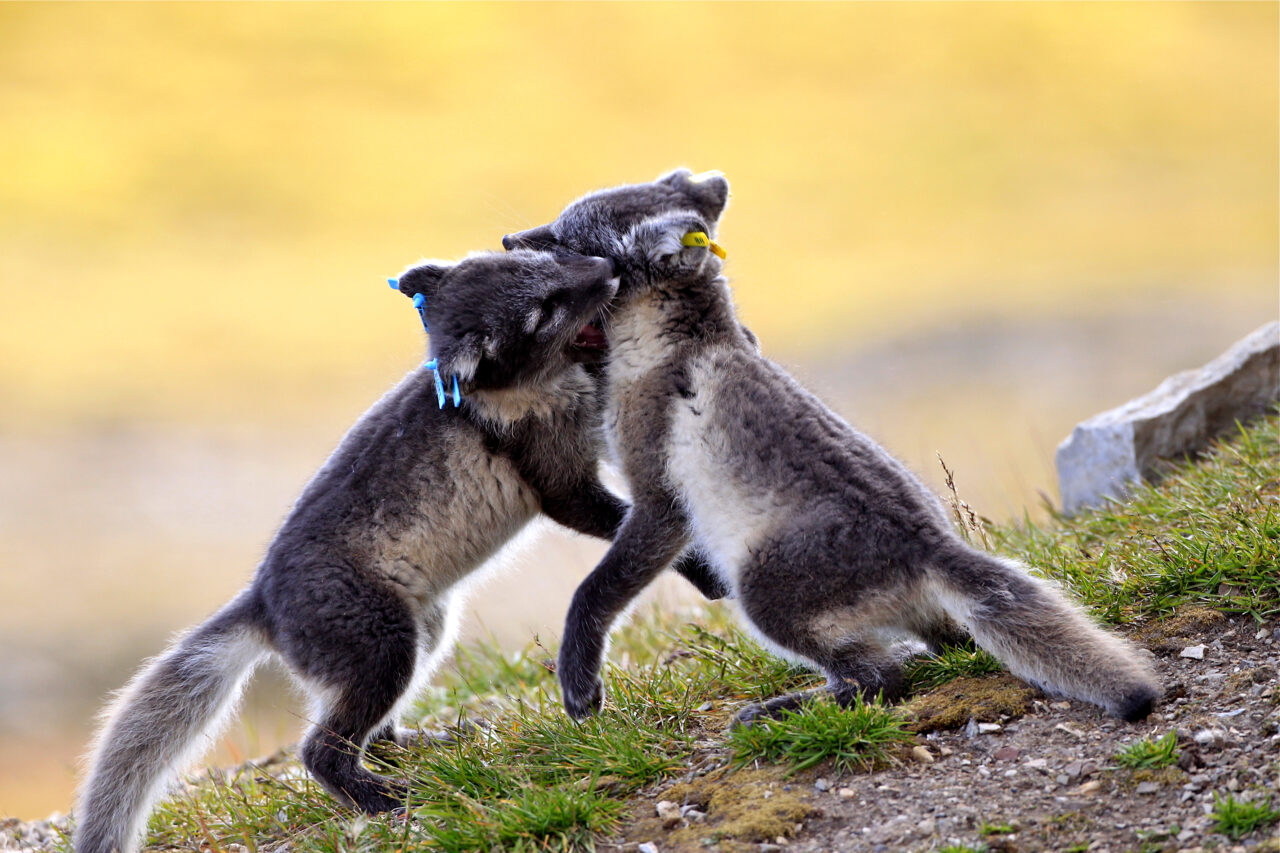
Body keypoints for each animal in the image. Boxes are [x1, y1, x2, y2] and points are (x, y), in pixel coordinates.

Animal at [74, 249, 727, 850]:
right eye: (543, 313)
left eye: (539, 259)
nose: (607, 269)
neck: (514, 389)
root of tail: (261, 601)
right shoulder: (561, 488)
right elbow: (624, 523)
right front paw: (706, 571)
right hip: (385, 647)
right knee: (320, 750)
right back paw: (382, 799)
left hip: (425, 633)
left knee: (370, 734)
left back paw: (423, 745)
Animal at [504, 171, 1167, 722]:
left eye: (569, 241)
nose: (509, 238)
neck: (685, 343)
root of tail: (931, 547)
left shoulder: (660, 497)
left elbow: (595, 590)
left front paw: (578, 680)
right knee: (938, 646)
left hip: (763, 592)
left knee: (881, 679)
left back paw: (791, 707)